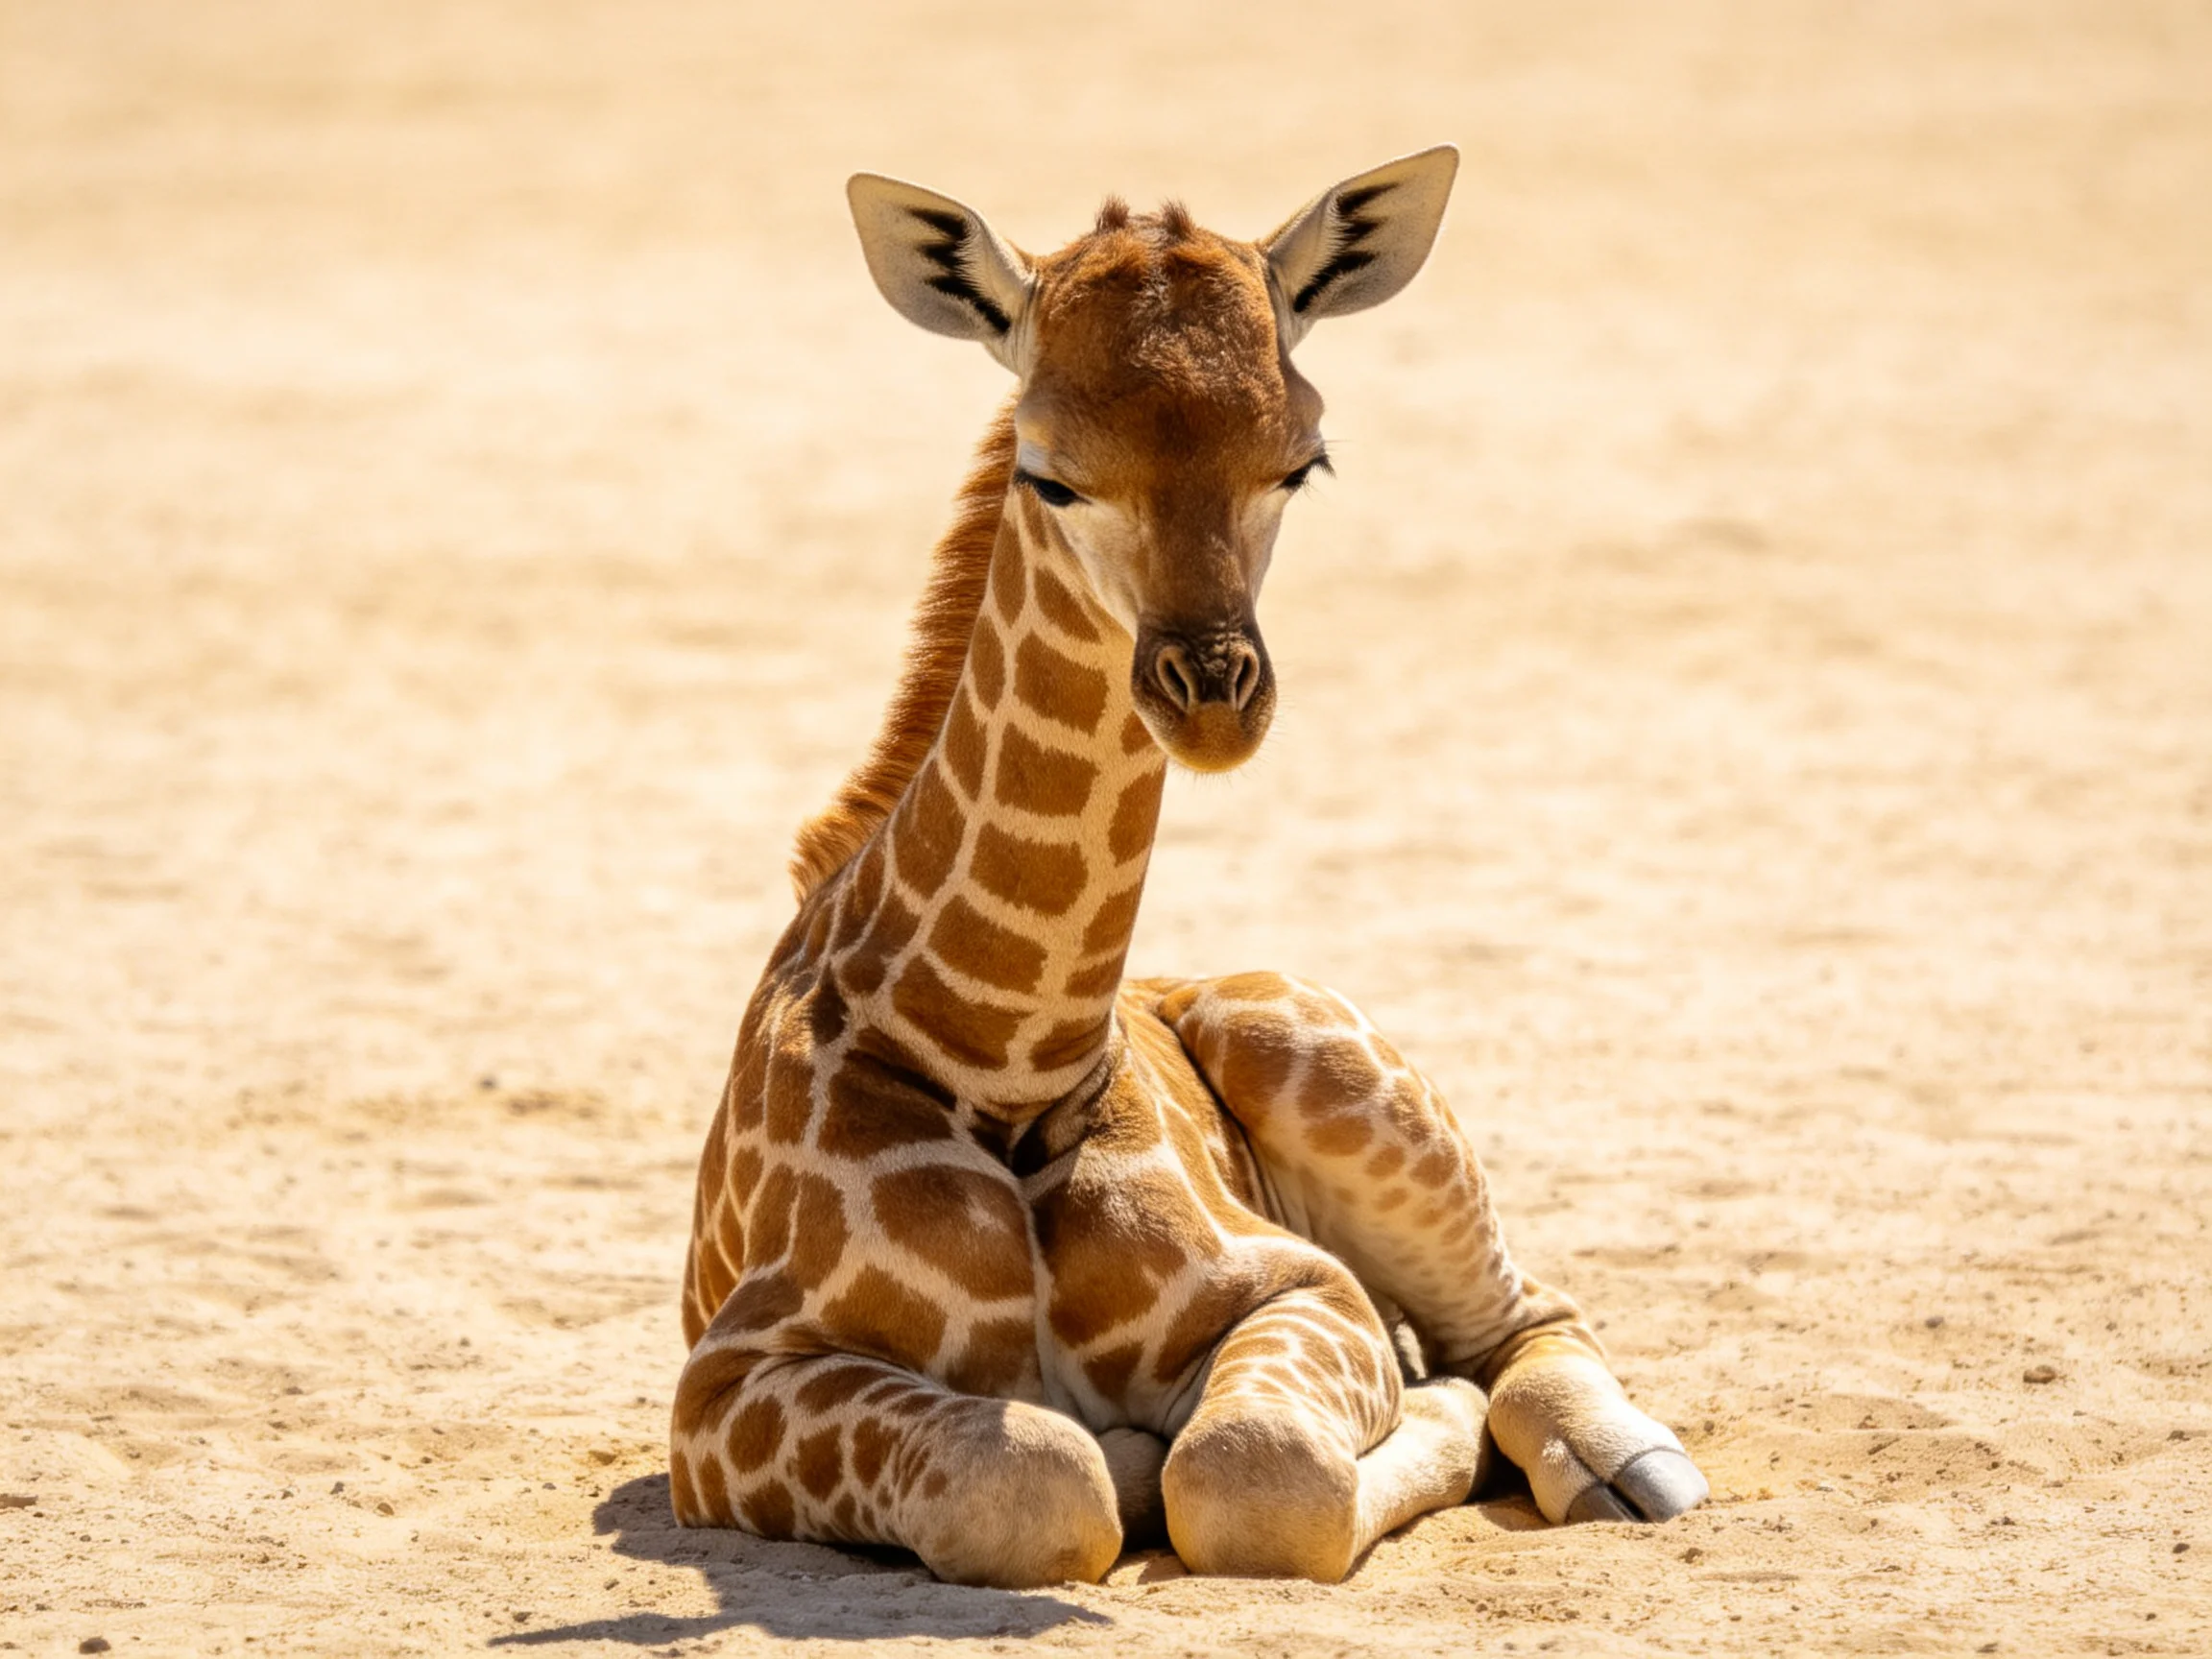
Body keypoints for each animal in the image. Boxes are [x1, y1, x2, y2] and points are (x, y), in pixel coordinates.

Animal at [670, 146, 1709, 1588]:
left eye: (1304, 460)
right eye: (1049, 473)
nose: (1213, 698)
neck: (1003, 1064)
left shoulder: (1303, 1284)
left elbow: (1252, 1471)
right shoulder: (723, 1388)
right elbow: (1035, 1472)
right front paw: (1114, 1459)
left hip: (1332, 1061)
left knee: (1520, 1321)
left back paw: (1630, 1469)